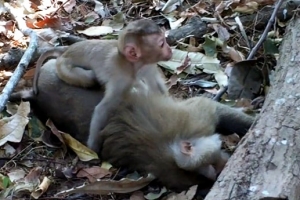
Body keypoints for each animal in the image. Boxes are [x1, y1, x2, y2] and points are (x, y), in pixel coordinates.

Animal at [32, 18, 173, 152]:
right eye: (161, 43)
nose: (170, 49)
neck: (132, 65)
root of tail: (66, 50)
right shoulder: (120, 80)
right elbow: (103, 109)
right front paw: (93, 147)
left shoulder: (147, 65)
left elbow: (156, 87)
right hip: (63, 67)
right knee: (90, 77)